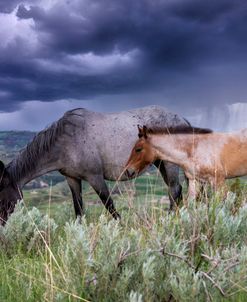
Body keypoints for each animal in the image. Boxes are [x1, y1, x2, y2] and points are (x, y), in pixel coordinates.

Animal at [0, 105, 191, 224]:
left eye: (4, 201)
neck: (66, 140)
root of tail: (182, 119)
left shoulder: (95, 177)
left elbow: (109, 204)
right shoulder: (72, 179)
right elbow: (78, 209)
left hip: (169, 163)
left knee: (174, 190)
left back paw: (168, 220)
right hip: (161, 163)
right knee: (177, 190)